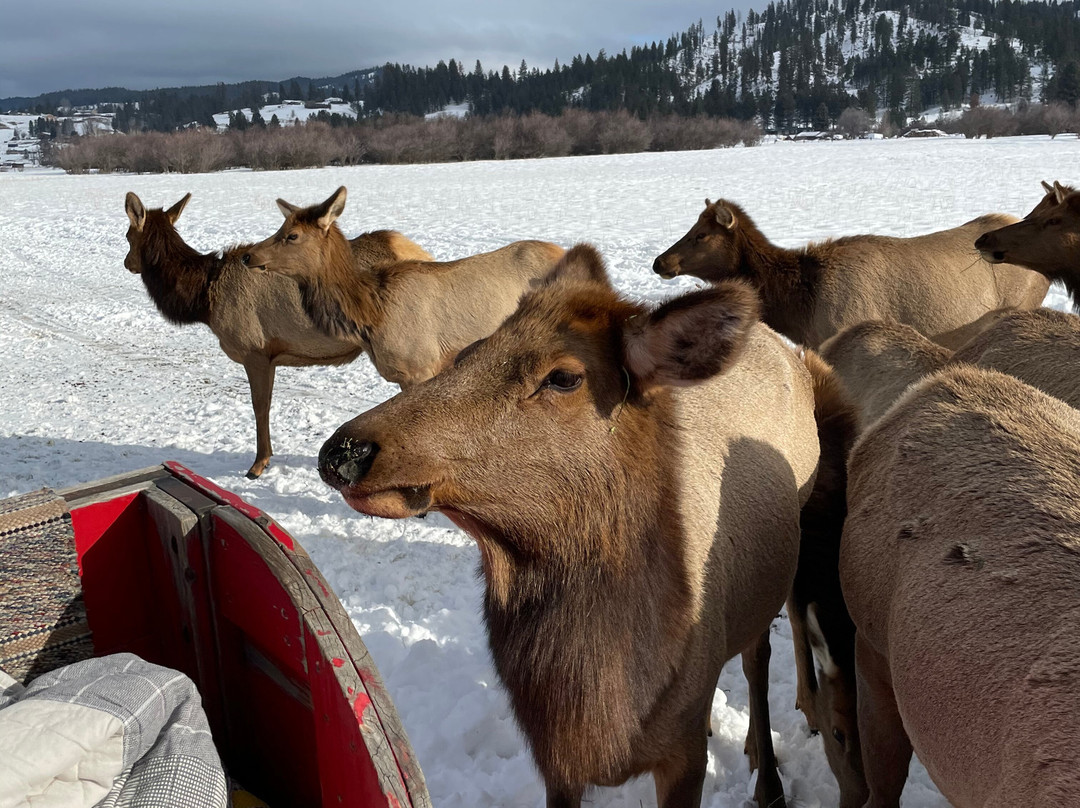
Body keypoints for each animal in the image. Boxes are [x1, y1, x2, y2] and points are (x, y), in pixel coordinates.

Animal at [121, 192, 429, 477]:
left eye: (127, 236)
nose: (127, 263)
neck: (204, 298)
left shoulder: (255, 350)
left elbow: (260, 406)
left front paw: (258, 464)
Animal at [313, 244, 816, 808]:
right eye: (468, 354)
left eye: (564, 377)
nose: (343, 451)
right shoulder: (554, 755)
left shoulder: (683, 755)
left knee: (757, 660)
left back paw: (768, 778)